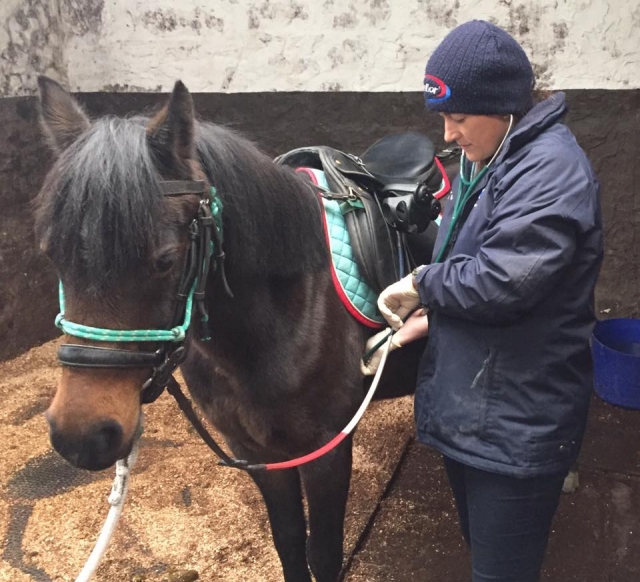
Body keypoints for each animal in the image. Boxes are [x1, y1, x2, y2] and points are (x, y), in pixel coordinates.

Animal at [35, 76, 434, 582]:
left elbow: (323, 553)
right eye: (53, 255)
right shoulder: (256, 450)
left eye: (165, 260)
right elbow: (289, 544)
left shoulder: (325, 452)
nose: (80, 437)